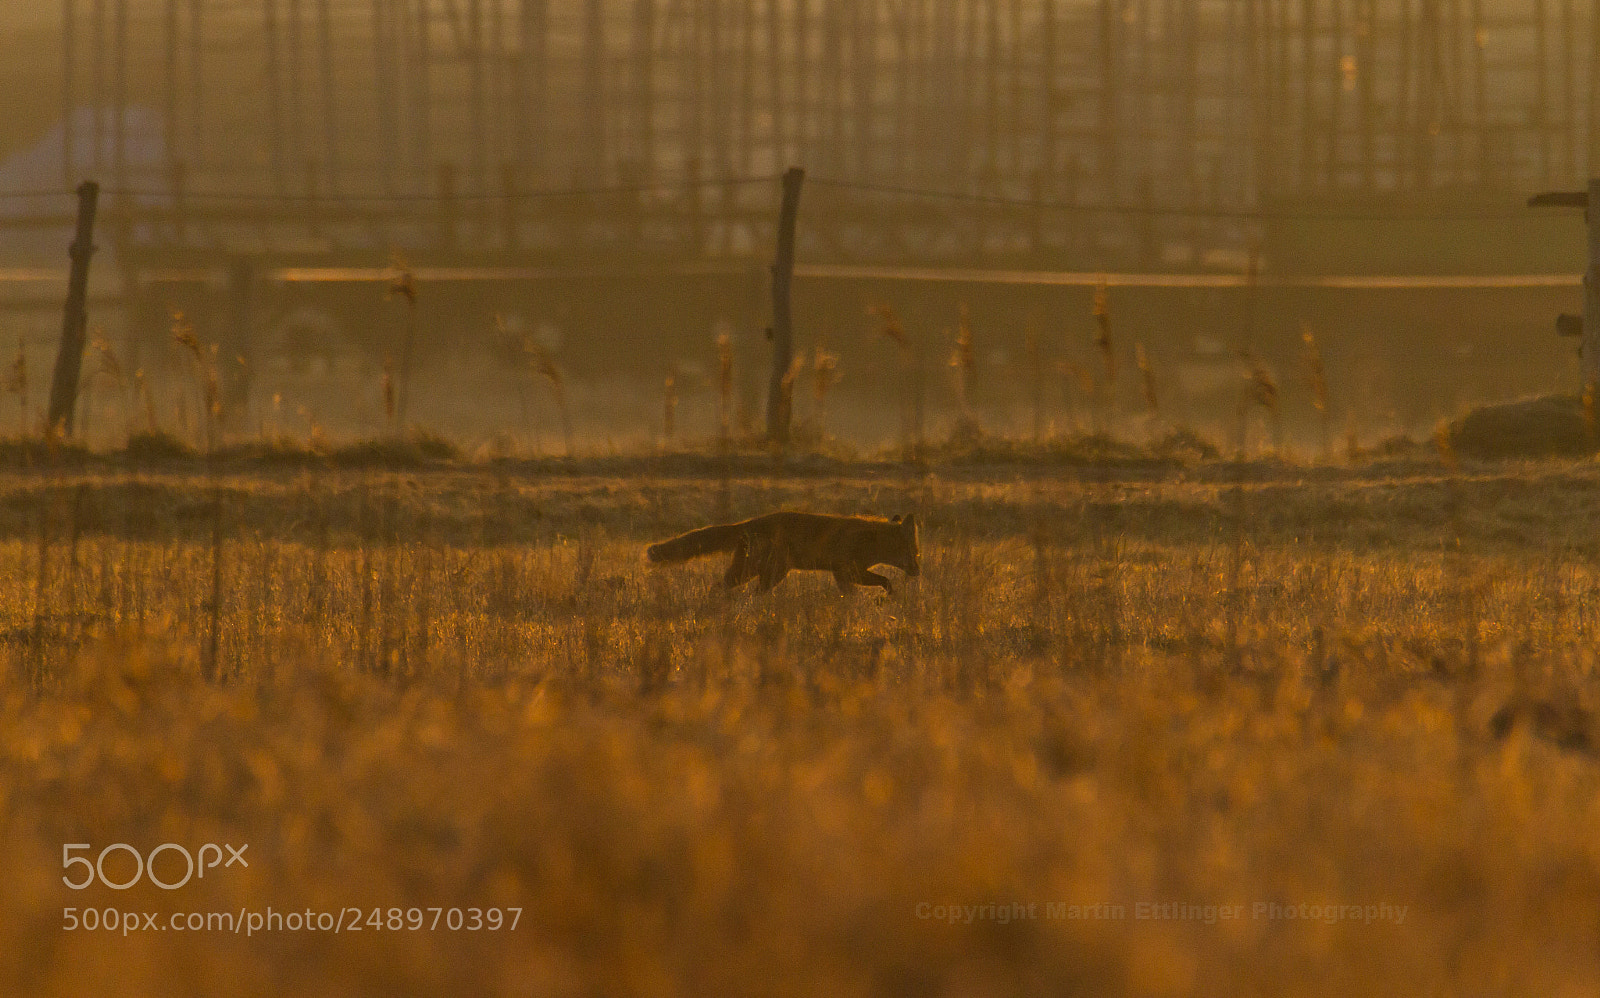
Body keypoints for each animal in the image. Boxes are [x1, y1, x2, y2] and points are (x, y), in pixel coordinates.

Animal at [646, 511, 920, 594]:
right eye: (914, 553)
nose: (918, 572)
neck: (870, 539)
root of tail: (747, 523)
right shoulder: (848, 570)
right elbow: (886, 580)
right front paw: (889, 597)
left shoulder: (842, 574)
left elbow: (851, 595)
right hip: (762, 572)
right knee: (722, 588)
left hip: (762, 574)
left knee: (729, 588)